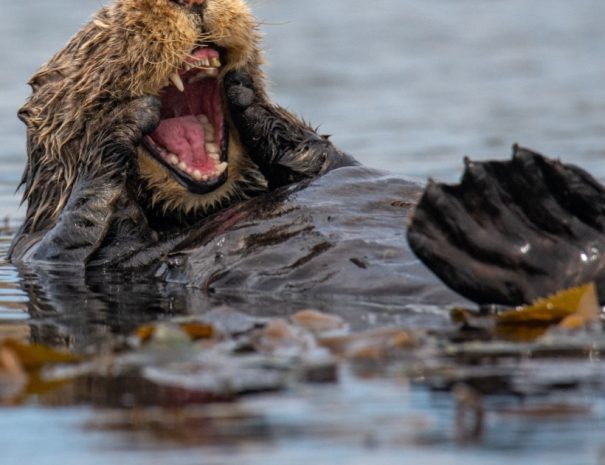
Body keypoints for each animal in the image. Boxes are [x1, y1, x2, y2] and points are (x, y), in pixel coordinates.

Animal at [9, 0, 604, 306]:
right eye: (104, 26)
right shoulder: (40, 253)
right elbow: (72, 234)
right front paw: (118, 128)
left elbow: (326, 159)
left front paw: (250, 99)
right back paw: (523, 210)